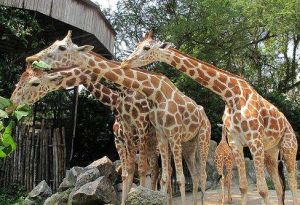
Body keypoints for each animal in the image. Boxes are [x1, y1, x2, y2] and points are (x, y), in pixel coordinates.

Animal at [22, 32, 211, 205]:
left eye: (61, 47)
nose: (31, 58)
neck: (118, 99)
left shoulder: (145, 128)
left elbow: (144, 170)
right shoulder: (122, 137)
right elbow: (128, 171)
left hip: (191, 139)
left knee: (189, 172)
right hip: (180, 143)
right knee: (175, 172)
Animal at [120, 32, 298, 205]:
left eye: (147, 48)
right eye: (137, 45)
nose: (124, 63)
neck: (231, 96)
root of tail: (289, 126)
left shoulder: (254, 140)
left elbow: (262, 190)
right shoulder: (235, 142)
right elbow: (243, 186)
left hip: (288, 148)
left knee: (292, 182)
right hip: (271, 152)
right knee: (279, 186)